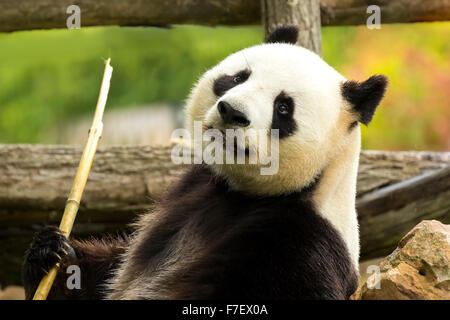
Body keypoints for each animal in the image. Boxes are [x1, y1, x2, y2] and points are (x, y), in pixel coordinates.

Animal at [22, 25, 386, 300]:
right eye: (238, 77)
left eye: (283, 108)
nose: (232, 111)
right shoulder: (190, 192)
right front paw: (51, 254)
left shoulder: (300, 246)